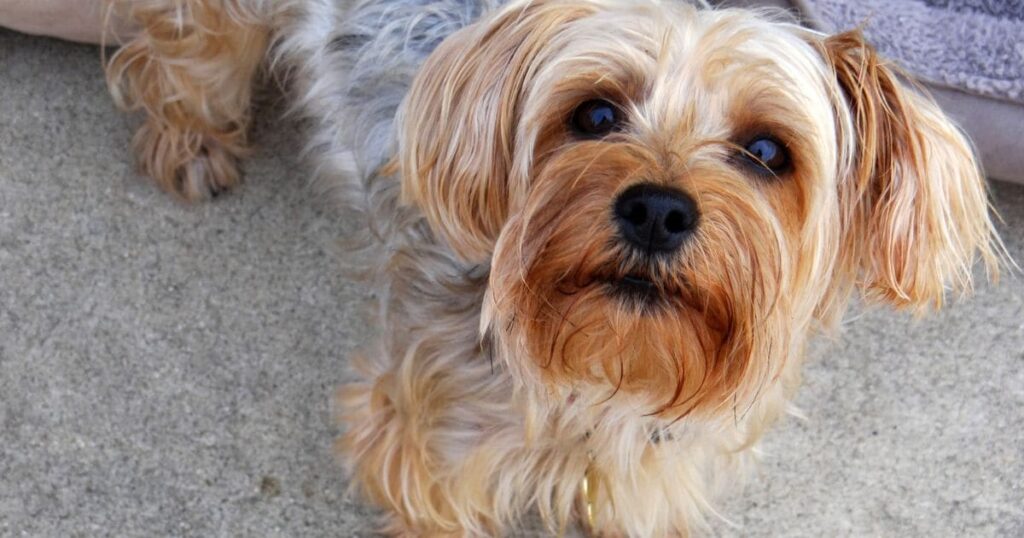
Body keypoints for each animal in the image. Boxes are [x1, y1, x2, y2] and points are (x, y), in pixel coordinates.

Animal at [101, 0, 999, 532]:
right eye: (594, 115)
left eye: (768, 151)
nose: (657, 209)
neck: (603, 373)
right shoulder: (430, 443)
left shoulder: (652, 478)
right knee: (184, 48)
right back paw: (189, 137)